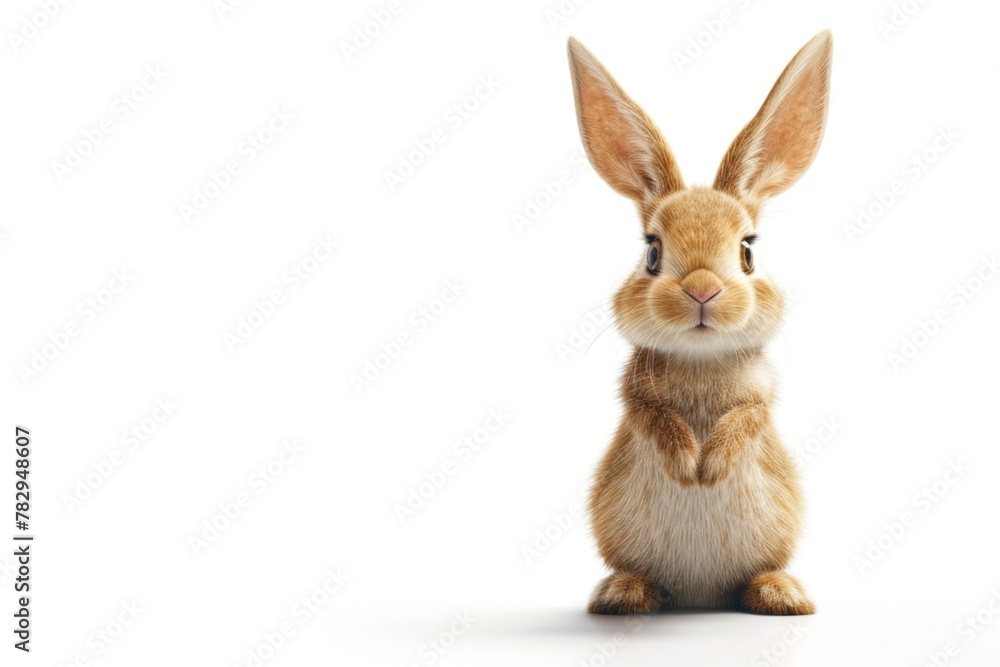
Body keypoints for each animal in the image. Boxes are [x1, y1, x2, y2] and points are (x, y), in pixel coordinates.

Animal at [566, 31, 832, 615]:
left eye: (748, 251)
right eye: (652, 252)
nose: (703, 290)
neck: (701, 356)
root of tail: (700, 595)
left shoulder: (760, 398)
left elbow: (744, 419)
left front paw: (708, 468)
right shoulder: (637, 398)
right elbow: (657, 420)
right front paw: (689, 466)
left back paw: (781, 594)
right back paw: (623, 593)